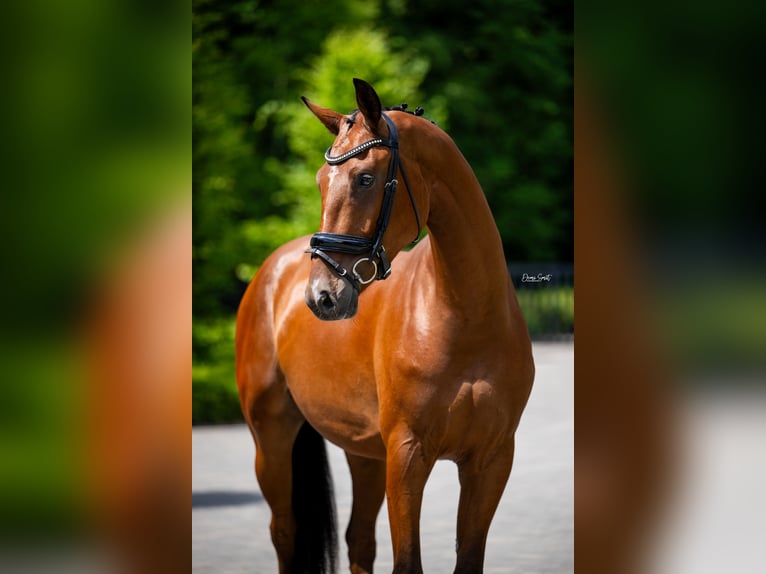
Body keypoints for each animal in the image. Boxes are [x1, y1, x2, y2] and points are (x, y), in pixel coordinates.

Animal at [236, 78, 534, 574]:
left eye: (366, 178)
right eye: (320, 182)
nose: (322, 297)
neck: (466, 316)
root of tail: (271, 272)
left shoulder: (491, 461)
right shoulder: (408, 456)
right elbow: (407, 561)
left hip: (365, 453)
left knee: (359, 541)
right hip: (271, 437)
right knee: (285, 532)